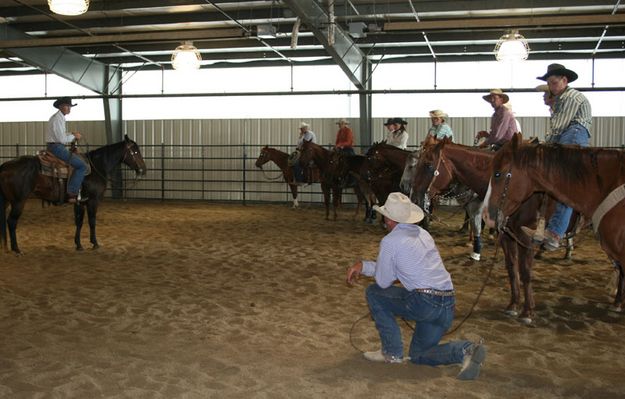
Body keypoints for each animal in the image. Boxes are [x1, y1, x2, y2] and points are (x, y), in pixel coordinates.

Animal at [0, 134, 147, 253]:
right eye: (135, 151)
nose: (143, 169)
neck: (96, 167)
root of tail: (4, 167)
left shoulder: (80, 202)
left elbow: (79, 222)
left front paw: (79, 245)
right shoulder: (93, 201)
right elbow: (92, 221)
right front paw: (95, 243)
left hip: (6, 201)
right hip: (18, 201)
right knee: (11, 222)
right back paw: (16, 249)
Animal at [412, 136, 576, 324]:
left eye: (428, 164)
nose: (414, 196)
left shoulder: (524, 238)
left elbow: (525, 272)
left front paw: (527, 312)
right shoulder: (505, 235)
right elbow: (512, 268)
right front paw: (513, 305)